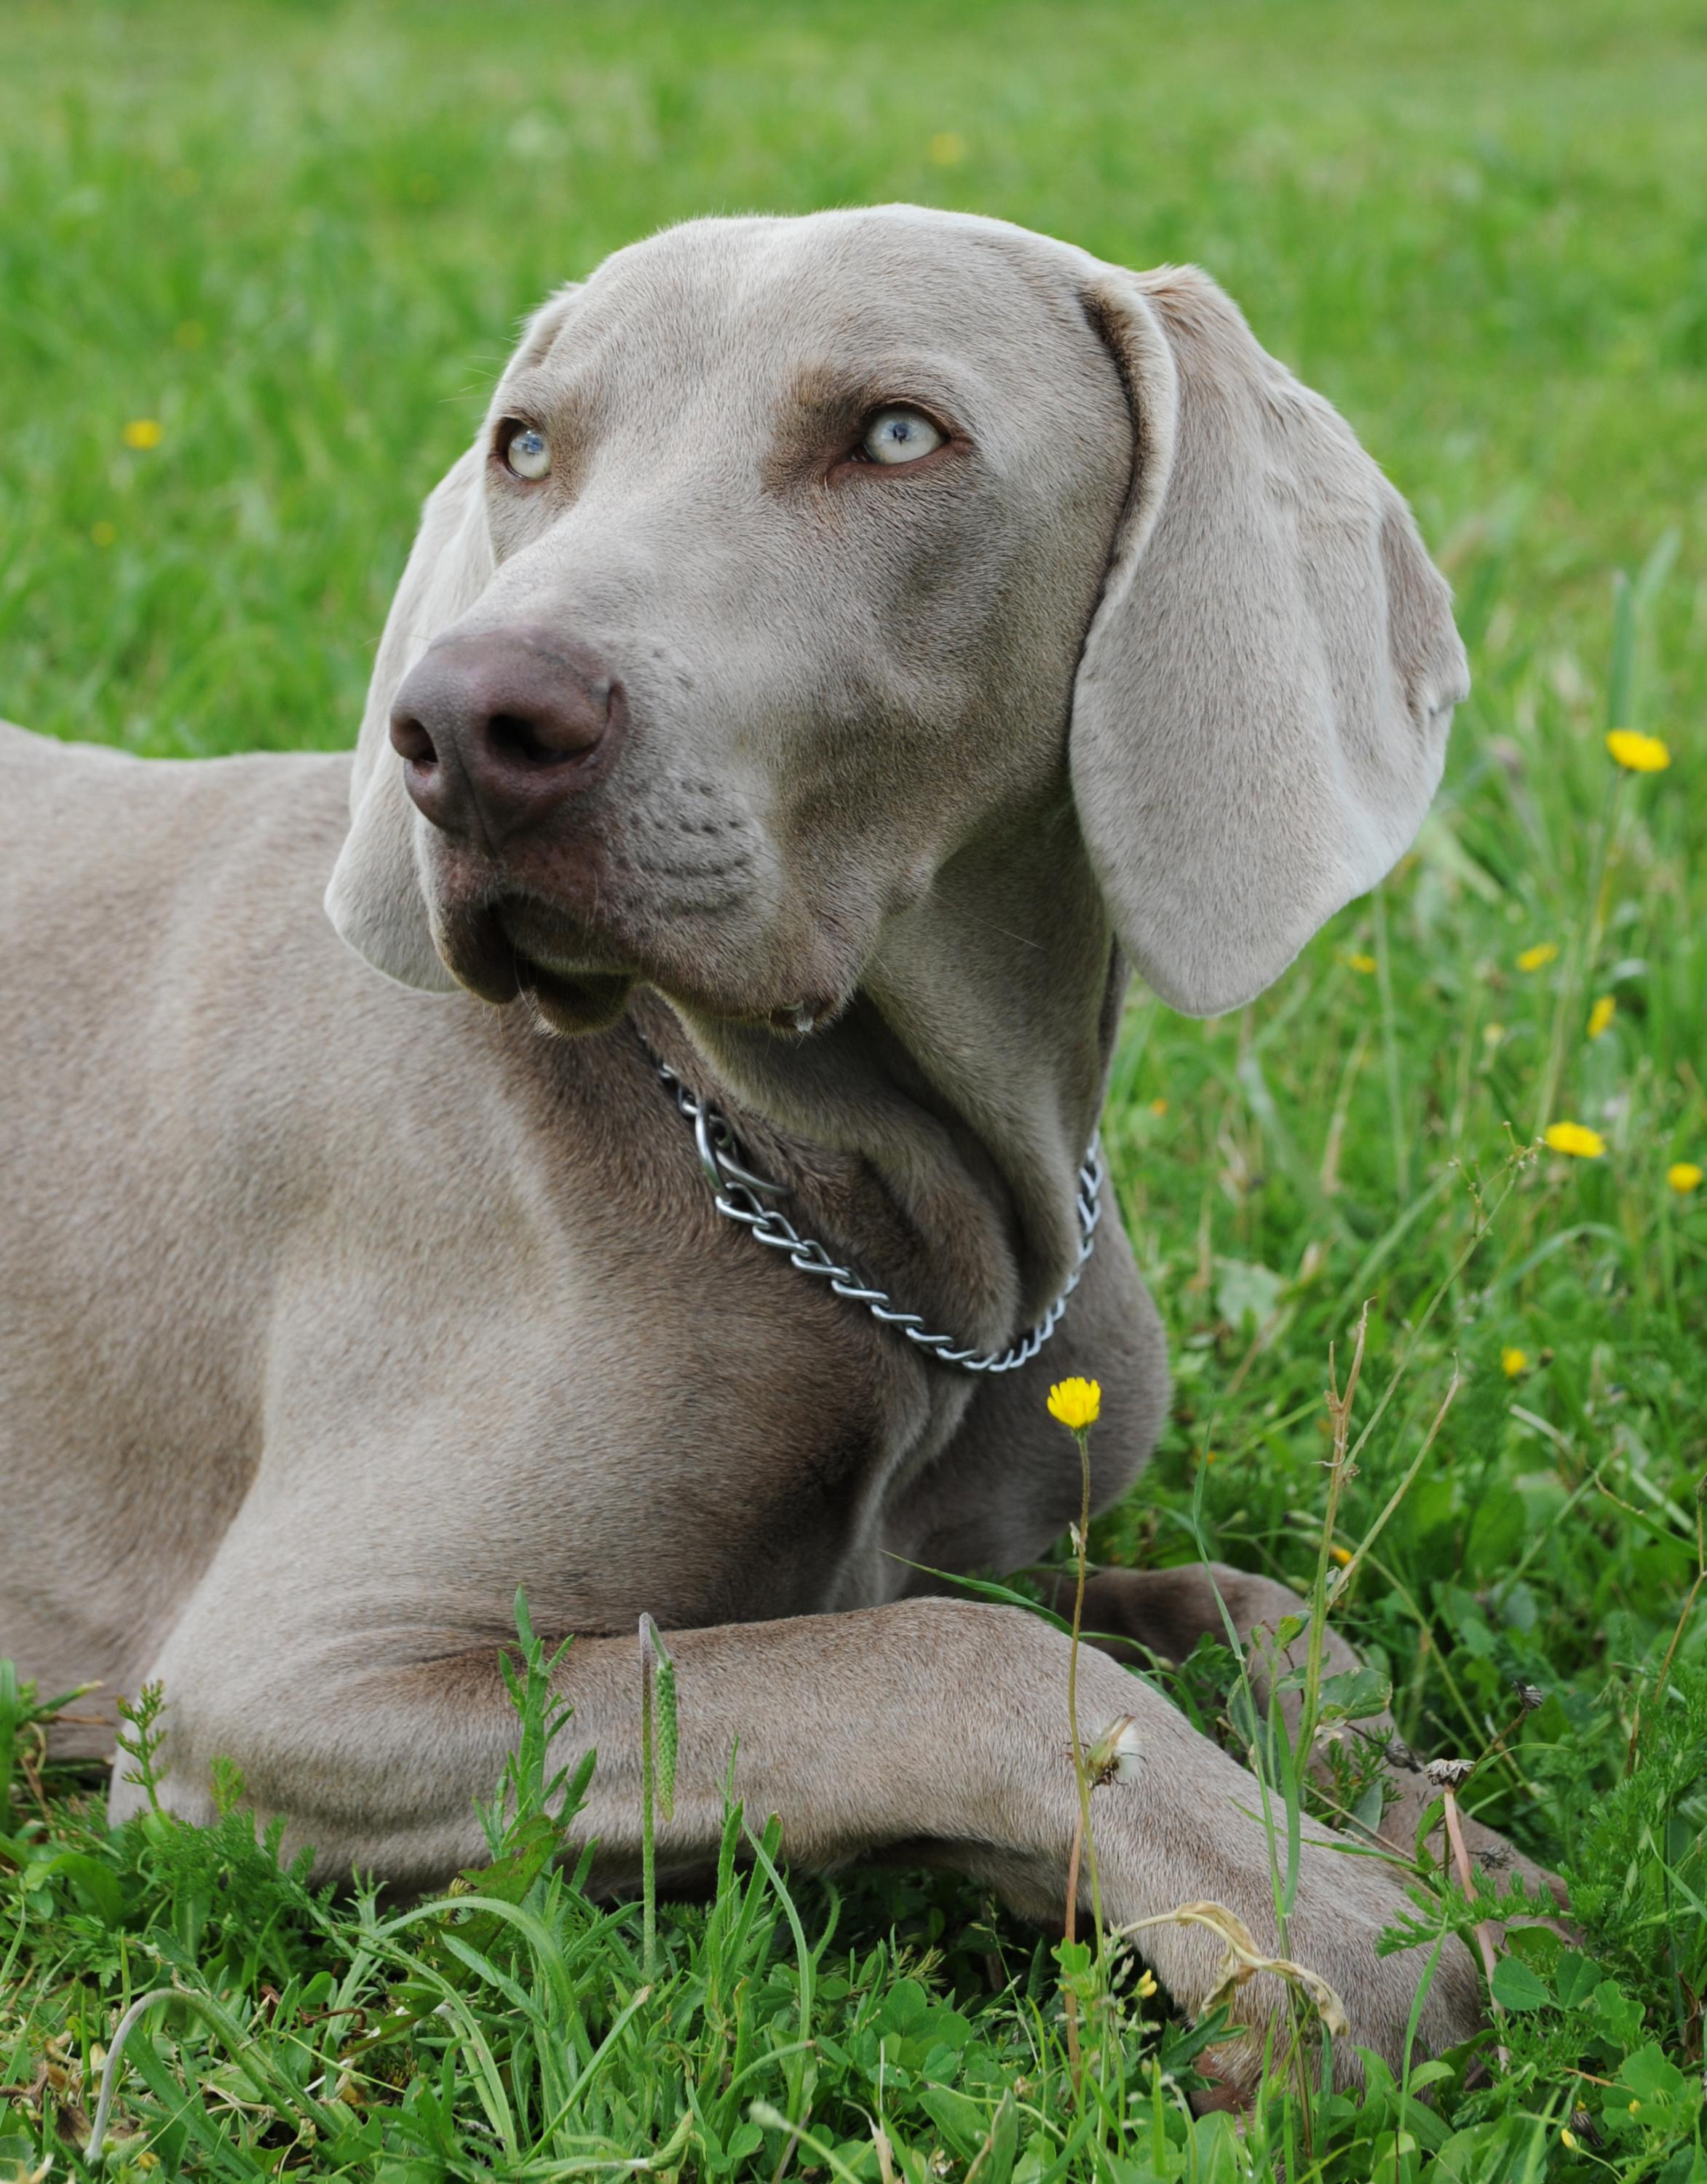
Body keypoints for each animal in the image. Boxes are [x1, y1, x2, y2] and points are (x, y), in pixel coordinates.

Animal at [0, 208, 1528, 2097]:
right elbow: (964, 1660)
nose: (464, 725)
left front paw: (1449, 1839)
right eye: (526, 447)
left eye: (896, 433)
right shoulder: (272, 1689)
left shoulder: (992, 1533)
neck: (857, 1202)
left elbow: (1248, 1605)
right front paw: (1323, 1920)